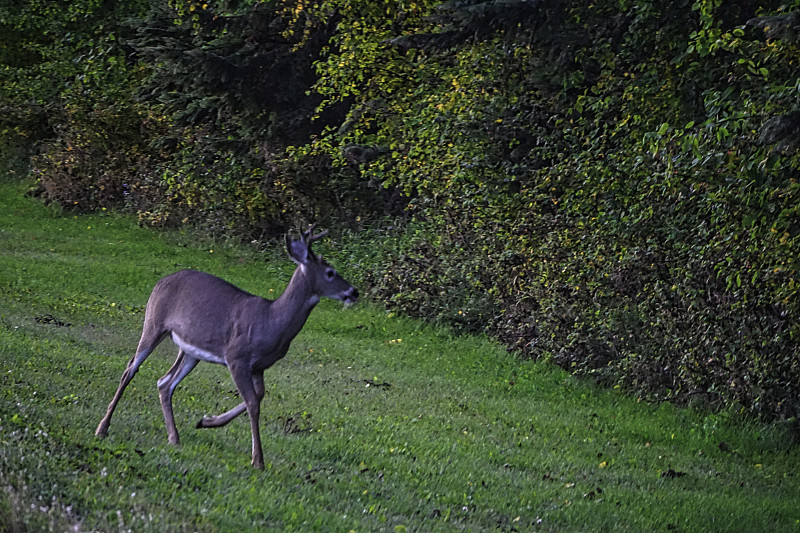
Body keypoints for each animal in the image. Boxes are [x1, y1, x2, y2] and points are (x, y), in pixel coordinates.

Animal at [95, 227, 358, 468]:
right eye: (331, 272)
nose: (354, 292)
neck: (271, 321)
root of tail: (160, 282)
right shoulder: (236, 357)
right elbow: (253, 403)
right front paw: (258, 460)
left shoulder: (259, 367)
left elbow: (258, 397)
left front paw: (206, 421)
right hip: (154, 322)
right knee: (130, 369)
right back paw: (102, 428)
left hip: (190, 351)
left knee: (164, 382)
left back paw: (174, 438)